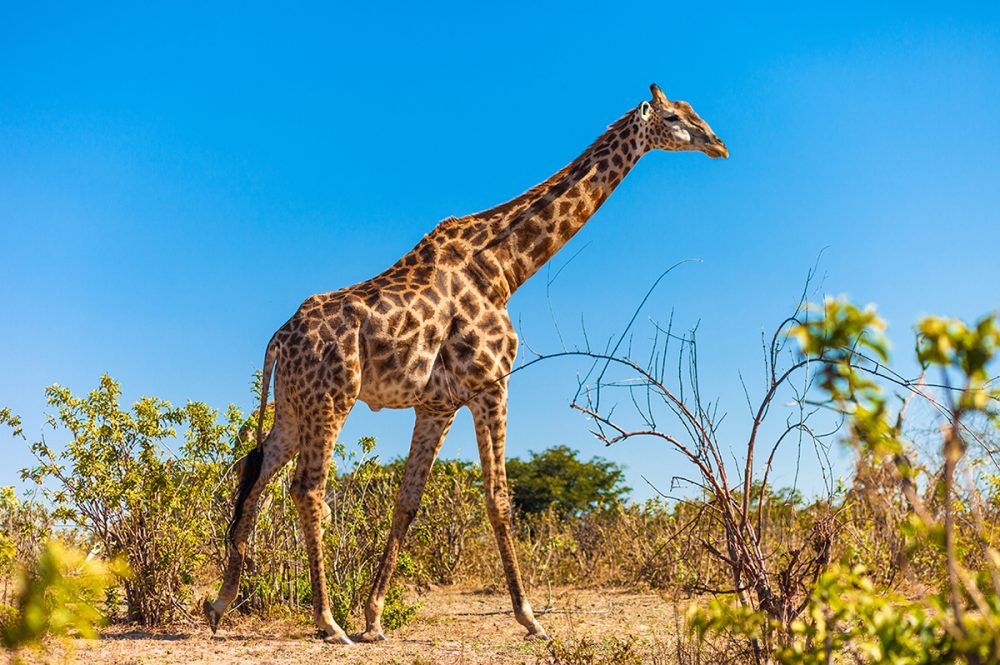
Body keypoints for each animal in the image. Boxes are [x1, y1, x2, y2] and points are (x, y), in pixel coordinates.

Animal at [203, 83, 728, 644]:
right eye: (675, 118)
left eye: (694, 113)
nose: (718, 145)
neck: (504, 267)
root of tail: (279, 339)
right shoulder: (491, 383)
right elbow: (499, 498)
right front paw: (530, 618)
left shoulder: (437, 405)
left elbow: (407, 501)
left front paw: (375, 617)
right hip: (332, 399)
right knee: (307, 488)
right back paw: (327, 622)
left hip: (291, 405)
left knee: (255, 473)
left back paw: (221, 603)